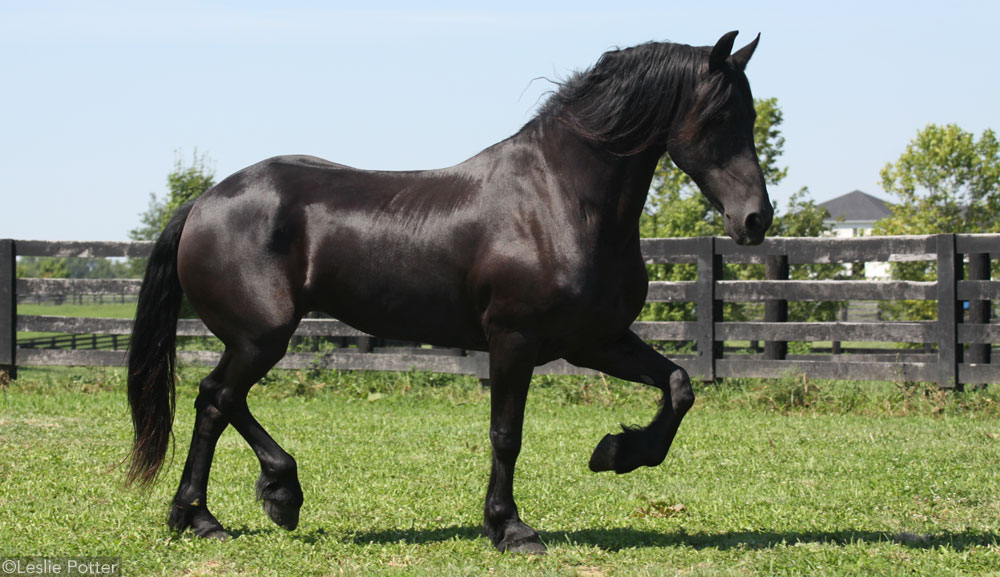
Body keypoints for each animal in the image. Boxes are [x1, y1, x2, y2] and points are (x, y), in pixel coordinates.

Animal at [127, 31, 772, 552]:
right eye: (719, 117)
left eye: (750, 114)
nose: (755, 220)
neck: (559, 199)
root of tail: (204, 202)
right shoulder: (514, 340)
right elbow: (506, 435)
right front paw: (510, 528)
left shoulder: (597, 341)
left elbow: (679, 386)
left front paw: (616, 453)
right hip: (261, 335)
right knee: (218, 397)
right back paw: (252, 501)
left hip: (255, 338)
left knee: (217, 402)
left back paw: (222, 511)